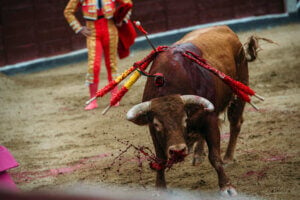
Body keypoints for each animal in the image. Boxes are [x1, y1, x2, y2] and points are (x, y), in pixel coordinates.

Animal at [125, 25, 262, 195]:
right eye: (157, 124)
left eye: (185, 119)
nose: (178, 151)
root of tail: (225, 28)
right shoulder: (153, 130)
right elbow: (160, 159)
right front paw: (160, 189)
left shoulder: (209, 119)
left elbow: (214, 156)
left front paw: (227, 187)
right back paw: (198, 155)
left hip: (239, 91)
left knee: (235, 123)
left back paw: (228, 157)